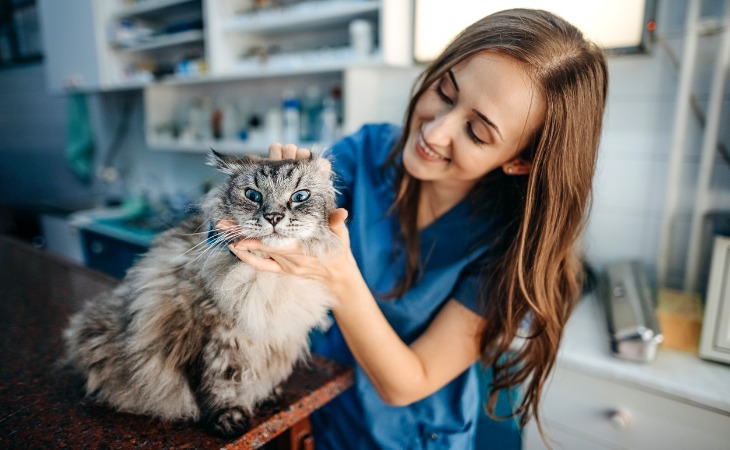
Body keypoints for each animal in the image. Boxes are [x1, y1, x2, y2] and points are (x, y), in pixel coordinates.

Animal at [62, 150, 338, 436]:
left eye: (300, 196)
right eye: (253, 195)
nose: (273, 217)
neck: (266, 278)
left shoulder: (274, 337)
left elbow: (263, 372)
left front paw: (268, 393)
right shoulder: (211, 339)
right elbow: (219, 384)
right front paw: (228, 419)